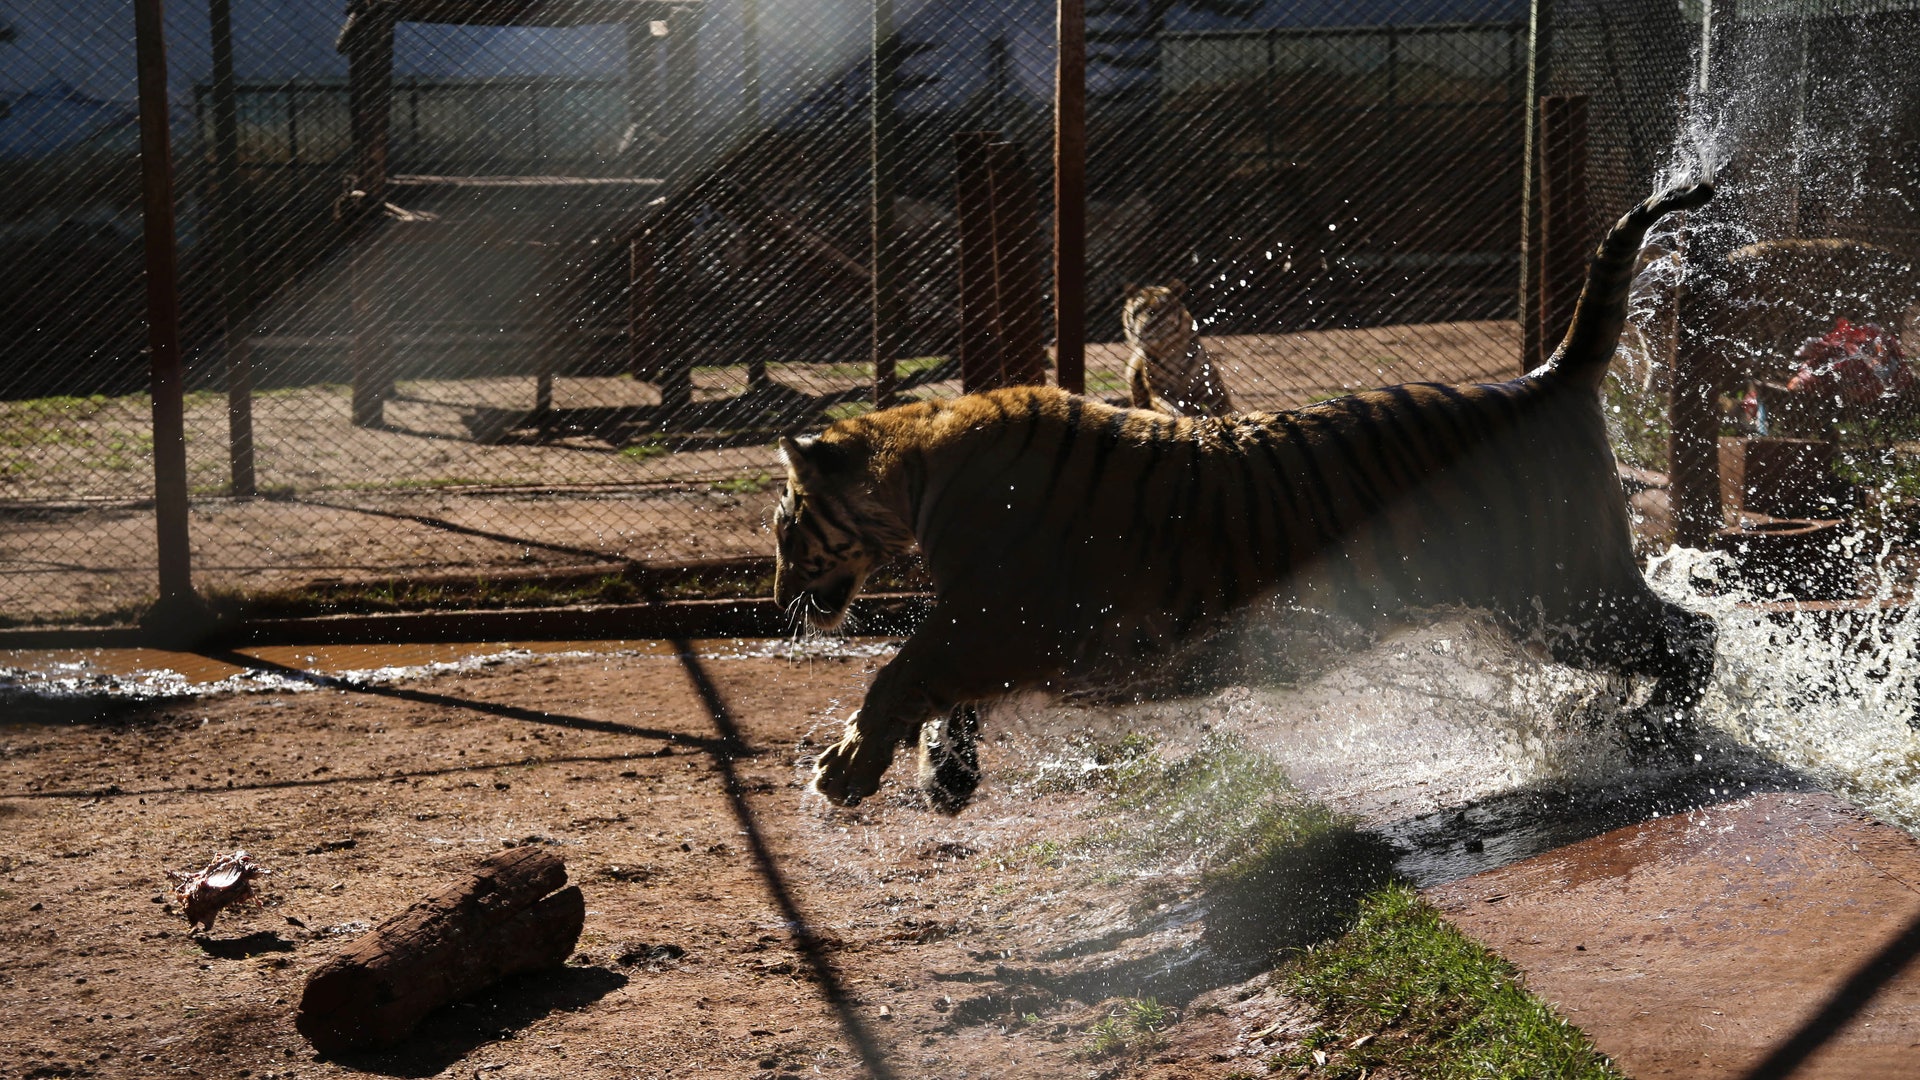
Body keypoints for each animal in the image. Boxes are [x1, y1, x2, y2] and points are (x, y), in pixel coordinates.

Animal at [1121, 276, 1236, 417]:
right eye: (1137, 311)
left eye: (1159, 311)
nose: (1143, 329)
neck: (1169, 350)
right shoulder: (1159, 394)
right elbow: (1172, 409)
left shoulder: (1213, 388)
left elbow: (1226, 408)